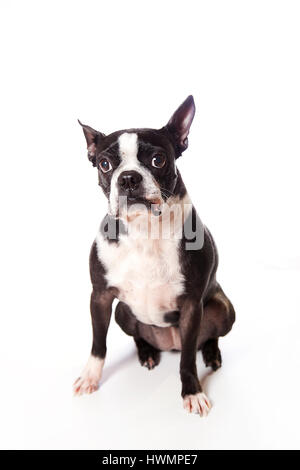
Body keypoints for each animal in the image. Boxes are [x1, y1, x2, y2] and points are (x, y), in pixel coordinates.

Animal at [74, 94, 236, 414]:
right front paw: (90, 376)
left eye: (157, 160)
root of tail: (168, 343)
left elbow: (188, 358)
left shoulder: (191, 306)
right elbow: (98, 342)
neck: (144, 232)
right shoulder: (100, 296)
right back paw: (147, 352)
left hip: (223, 308)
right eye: (105, 164)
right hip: (122, 312)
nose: (128, 178)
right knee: (137, 334)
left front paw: (192, 391)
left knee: (206, 337)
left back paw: (211, 354)